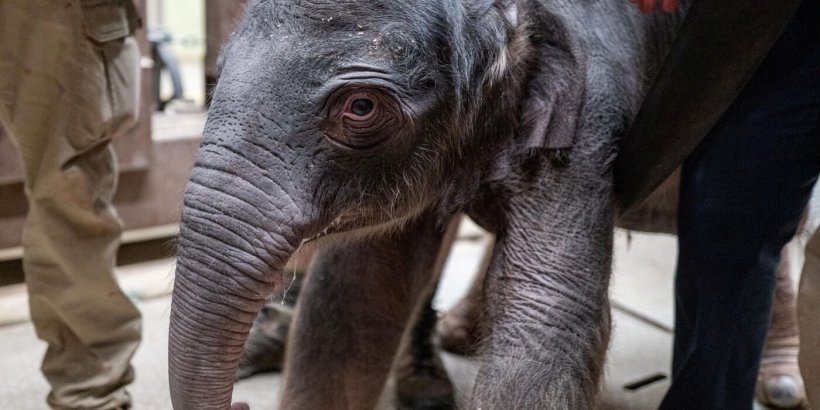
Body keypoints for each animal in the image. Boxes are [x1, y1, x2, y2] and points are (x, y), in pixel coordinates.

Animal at [168, 0, 687, 408]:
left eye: (361, 107)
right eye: (219, 70)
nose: (239, 402)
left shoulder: (586, 121)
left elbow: (546, 314)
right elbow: (355, 295)